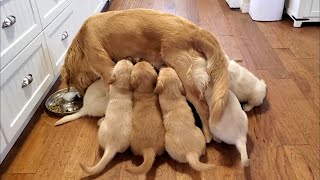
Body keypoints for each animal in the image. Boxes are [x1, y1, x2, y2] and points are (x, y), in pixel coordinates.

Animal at [60, 8, 230, 143]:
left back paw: (208, 135)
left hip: (184, 76)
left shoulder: (107, 71)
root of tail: (195, 29)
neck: (82, 40)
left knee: (203, 107)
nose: (81, 96)